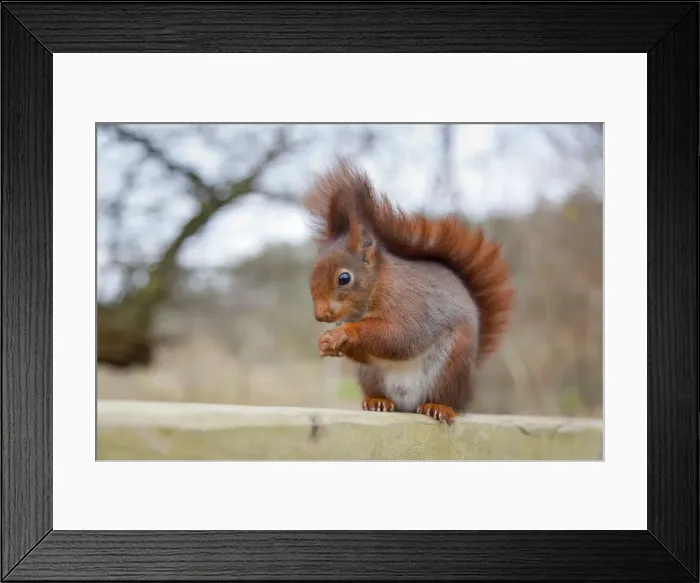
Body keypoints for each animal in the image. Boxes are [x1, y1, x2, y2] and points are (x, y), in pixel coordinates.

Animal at [303, 160, 514, 425]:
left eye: (344, 278)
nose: (320, 315)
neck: (377, 286)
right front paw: (326, 342)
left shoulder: (410, 304)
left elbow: (400, 336)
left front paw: (346, 333)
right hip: (370, 374)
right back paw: (378, 401)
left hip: (452, 365)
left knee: (446, 398)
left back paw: (439, 407)